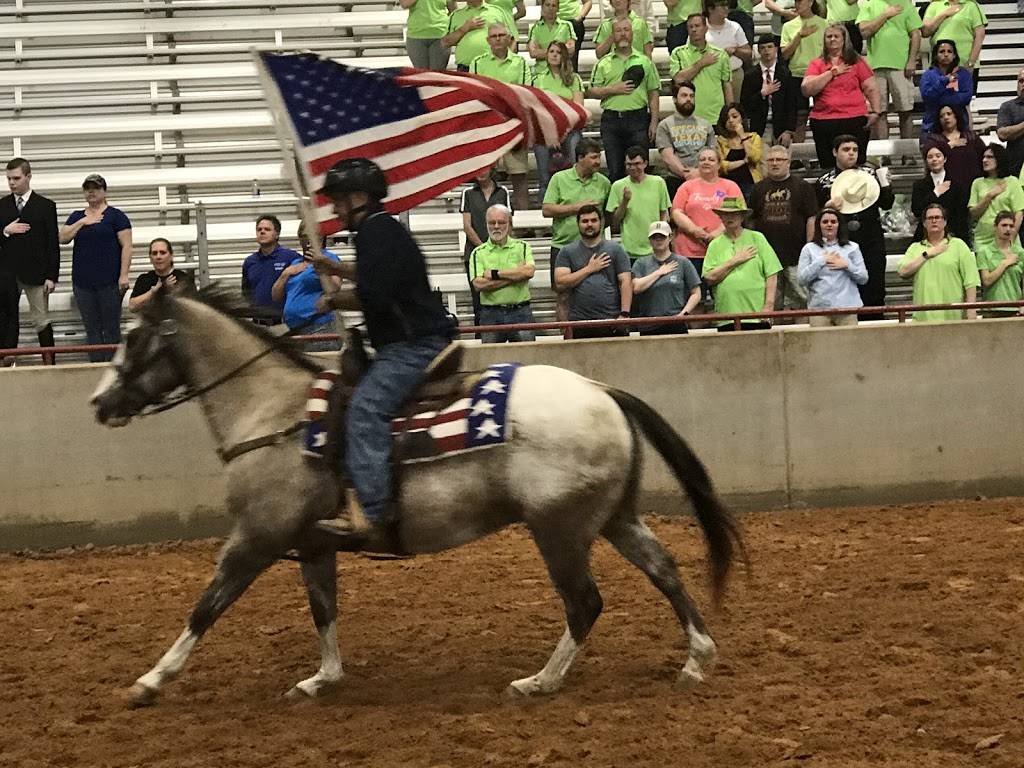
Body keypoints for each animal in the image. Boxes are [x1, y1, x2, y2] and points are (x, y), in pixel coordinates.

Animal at [90, 286, 745, 708]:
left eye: (133, 337)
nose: (99, 403)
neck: (275, 416)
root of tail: (601, 388)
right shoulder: (311, 545)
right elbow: (323, 609)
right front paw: (323, 679)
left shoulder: (257, 537)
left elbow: (206, 607)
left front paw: (151, 680)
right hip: (611, 518)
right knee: (663, 569)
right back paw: (697, 658)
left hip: (558, 529)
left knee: (585, 603)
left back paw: (540, 682)